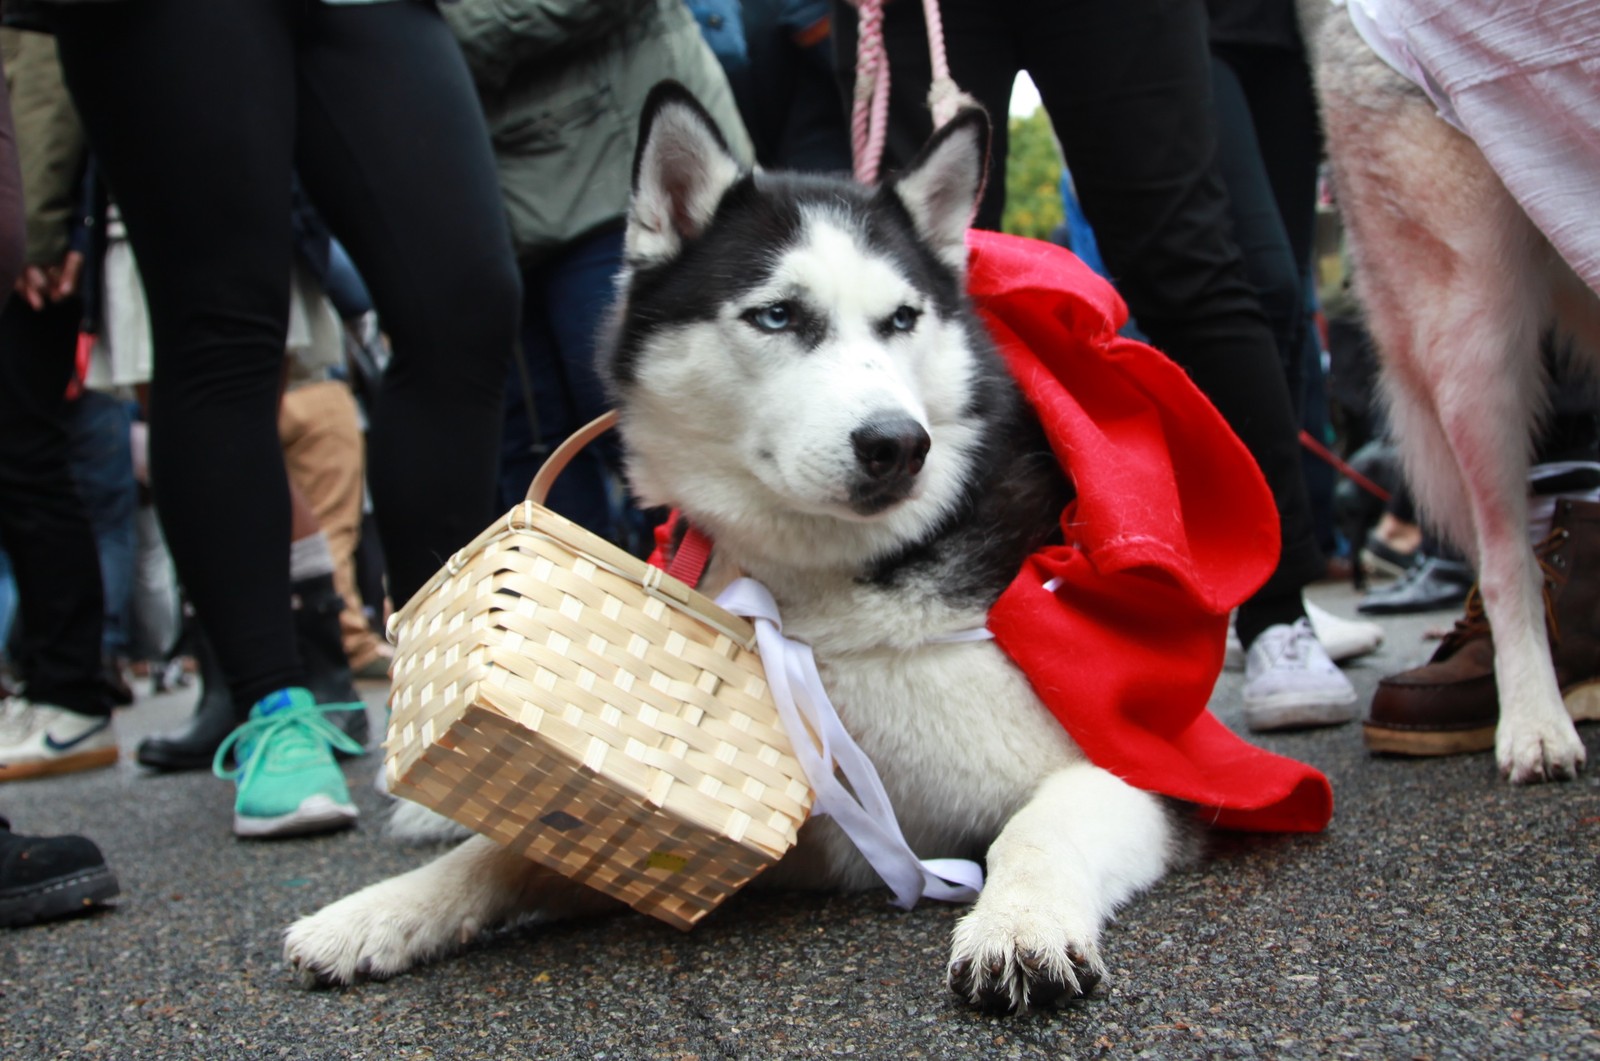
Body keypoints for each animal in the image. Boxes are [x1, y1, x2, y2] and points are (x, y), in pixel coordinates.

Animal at [284, 83, 1190, 1011]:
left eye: (902, 319)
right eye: (779, 314)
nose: (899, 444)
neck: (819, 605)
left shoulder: (1121, 773)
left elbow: (1036, 831)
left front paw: (1018, 925)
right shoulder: (752, 838)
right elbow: (507, 848)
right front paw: (377, 912)